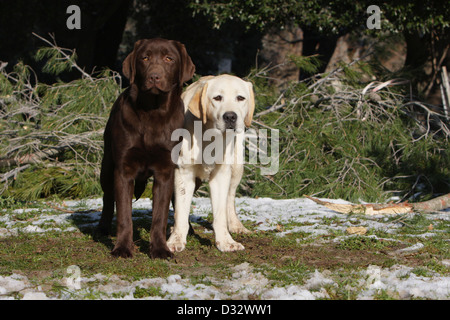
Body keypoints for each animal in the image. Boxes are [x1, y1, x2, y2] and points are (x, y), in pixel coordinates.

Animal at [98, 39, 195, 260]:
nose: (154, 77)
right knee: (108, 197)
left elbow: (159, 217)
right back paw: (102, 228)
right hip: (107, 166)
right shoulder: (123, 170)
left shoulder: (165, 172)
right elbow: (124, 215)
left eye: (169, 58)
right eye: (145, 58)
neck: (153, 113)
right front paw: (122, 248)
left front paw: (160, 249)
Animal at [167, 75, 255, 252]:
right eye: (217, 98)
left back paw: (236, 226)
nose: (230, 116)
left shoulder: (221, 175)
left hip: (236, 168)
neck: (209, 137)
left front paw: (226, 242)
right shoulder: (184, 173)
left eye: (240, 98)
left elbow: (220, 213)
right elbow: (181, 212)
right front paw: (176, 240)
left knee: (230, 197)